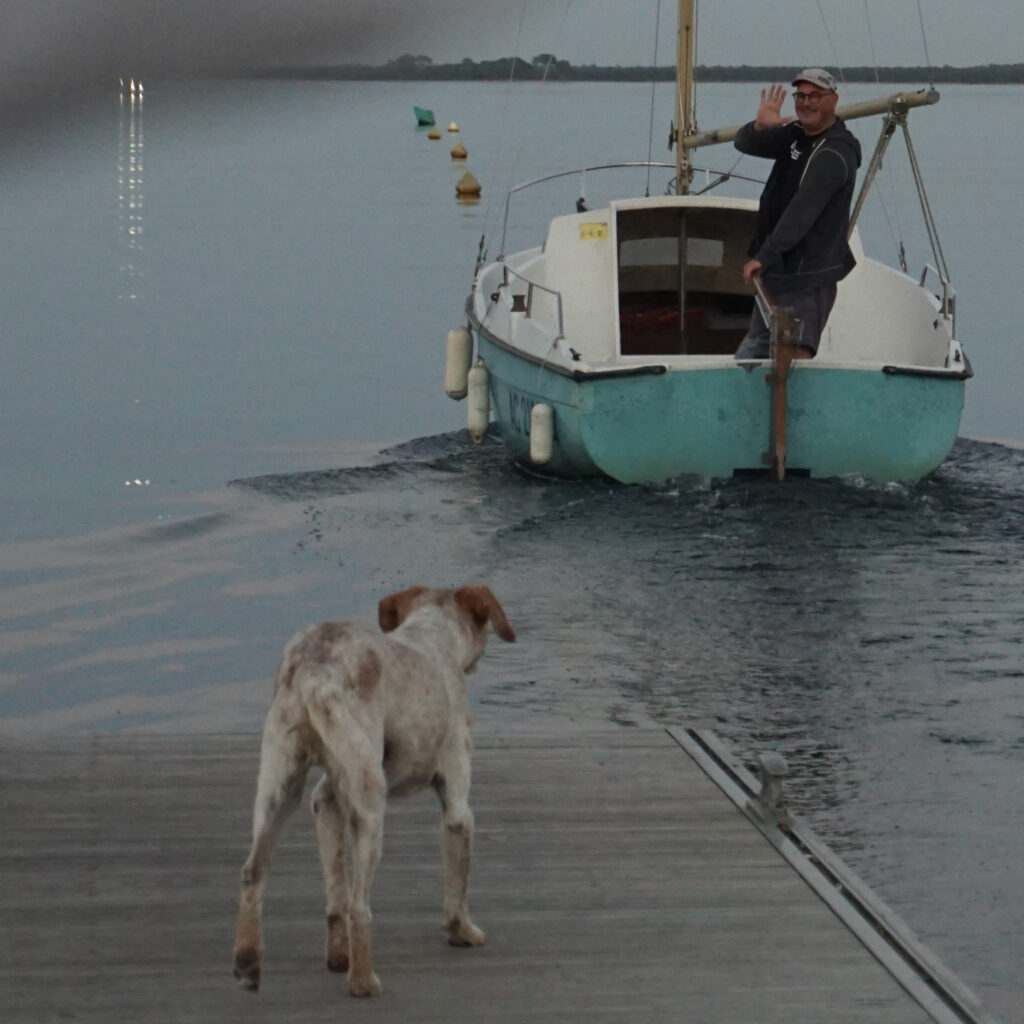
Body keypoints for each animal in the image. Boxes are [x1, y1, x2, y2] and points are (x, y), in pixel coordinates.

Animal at [234, 589, 516, 995]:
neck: (433, 638)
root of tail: (314, 667)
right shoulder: (458, 807)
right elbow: (457, 886)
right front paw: (462, 931)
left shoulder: (326, 799)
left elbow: (333, 899)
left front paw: (338, 957)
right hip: (370, 809)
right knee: (359, 906)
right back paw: (363, 982)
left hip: (279, 788)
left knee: (254, 872)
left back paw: (248, 962)